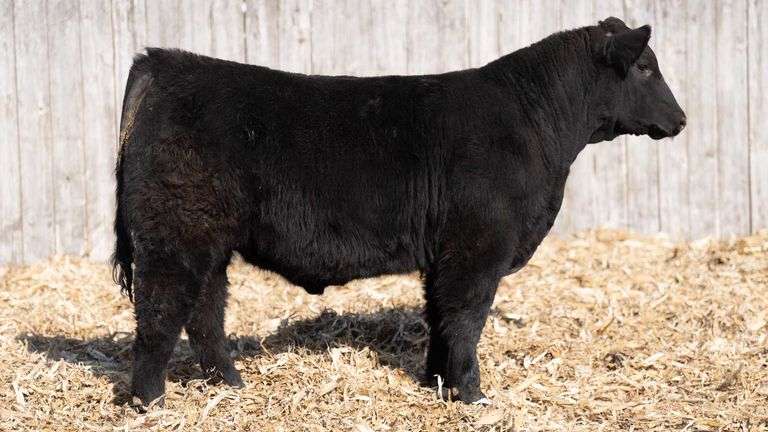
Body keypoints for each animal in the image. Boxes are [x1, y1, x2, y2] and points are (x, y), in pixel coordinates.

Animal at [113, 17, 686, 408]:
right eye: (644, 67)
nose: (681, 119)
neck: (536, 124)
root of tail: (162, 63)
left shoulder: (445, 255)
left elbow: (439, 318)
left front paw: (439, 384)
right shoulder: (477, 249)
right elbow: (465, 319)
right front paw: (473, 395)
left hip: (209, 242)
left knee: (205, 313)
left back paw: (230, 385)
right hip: (173, 237)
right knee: (161, 313)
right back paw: (148, 402)